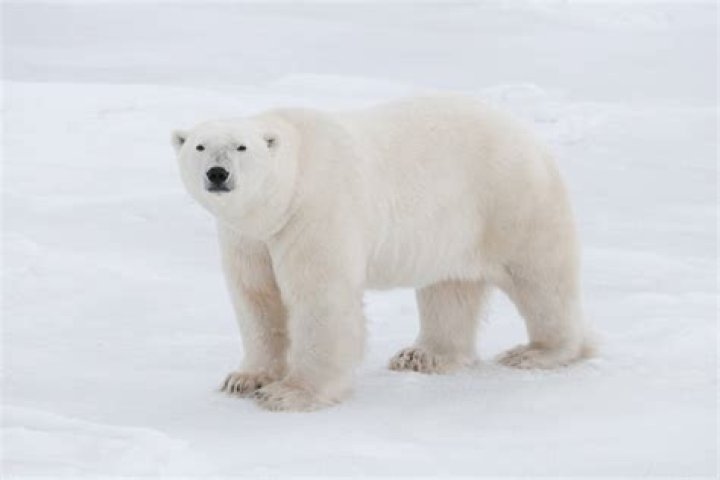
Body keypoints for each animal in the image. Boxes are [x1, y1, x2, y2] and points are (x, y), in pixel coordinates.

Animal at [171, 95, 592, 412]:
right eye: (200, 146)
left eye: (241, 147)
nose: (217, 174)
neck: (288, 190)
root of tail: (529, 136)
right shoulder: (248, 237)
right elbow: (256, 298)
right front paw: (244, 379)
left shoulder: (316, 212)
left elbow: (319, 298)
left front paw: (291, 393)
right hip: (453, 226)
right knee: (449, 289)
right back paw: (424, 355)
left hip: (509, 198)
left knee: (541, 278)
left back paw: (539, 352)